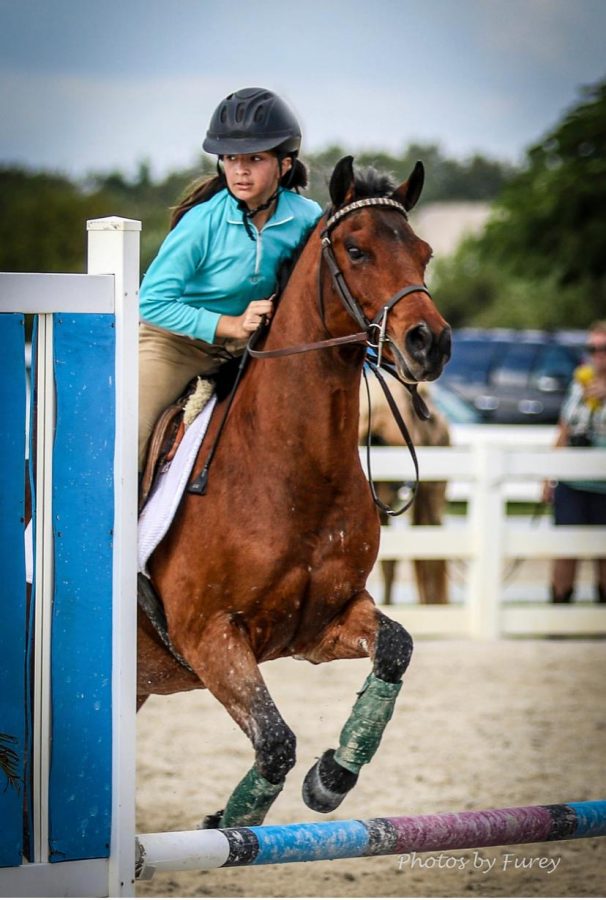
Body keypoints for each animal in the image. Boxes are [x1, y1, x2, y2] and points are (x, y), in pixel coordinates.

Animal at [138, 156, 452, 828]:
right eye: (356, 250)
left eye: (424, 252)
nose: (430, 344)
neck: (287, 475)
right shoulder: (209, 638)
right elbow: (276, 741)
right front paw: (230, 824)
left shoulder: (322, 626)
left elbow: (397, 646)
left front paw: (332, 776)